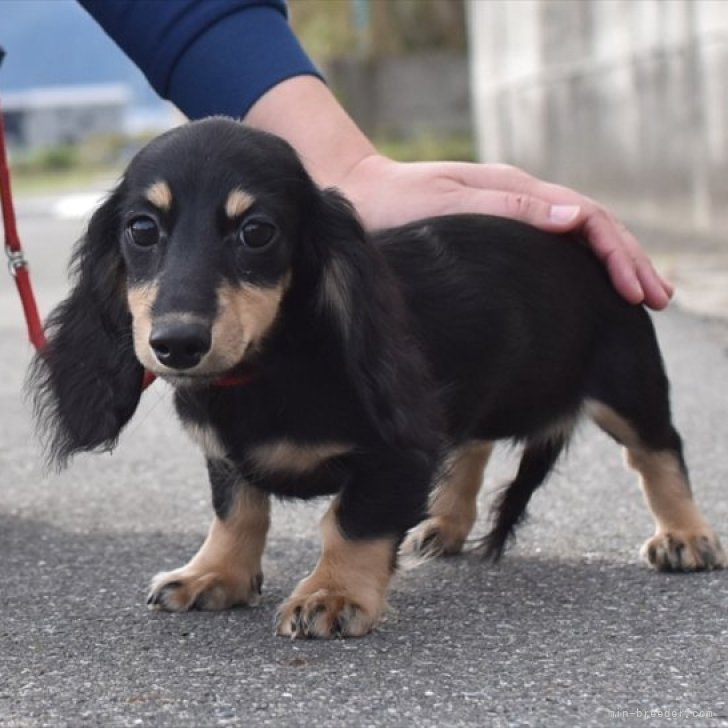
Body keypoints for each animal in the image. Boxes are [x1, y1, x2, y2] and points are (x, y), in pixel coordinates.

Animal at [27, 115, 724, 636]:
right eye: (141, 229)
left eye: (257, 232)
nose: (176, 344)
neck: (275, 361)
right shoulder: (227, 456)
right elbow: (236, 511)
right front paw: (214, 574)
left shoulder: (393, 455)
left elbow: (350, 523)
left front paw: (332, 594)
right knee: (472, 444)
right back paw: (445, 524)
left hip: (627, 383)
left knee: (657, 451)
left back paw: (685, 535)